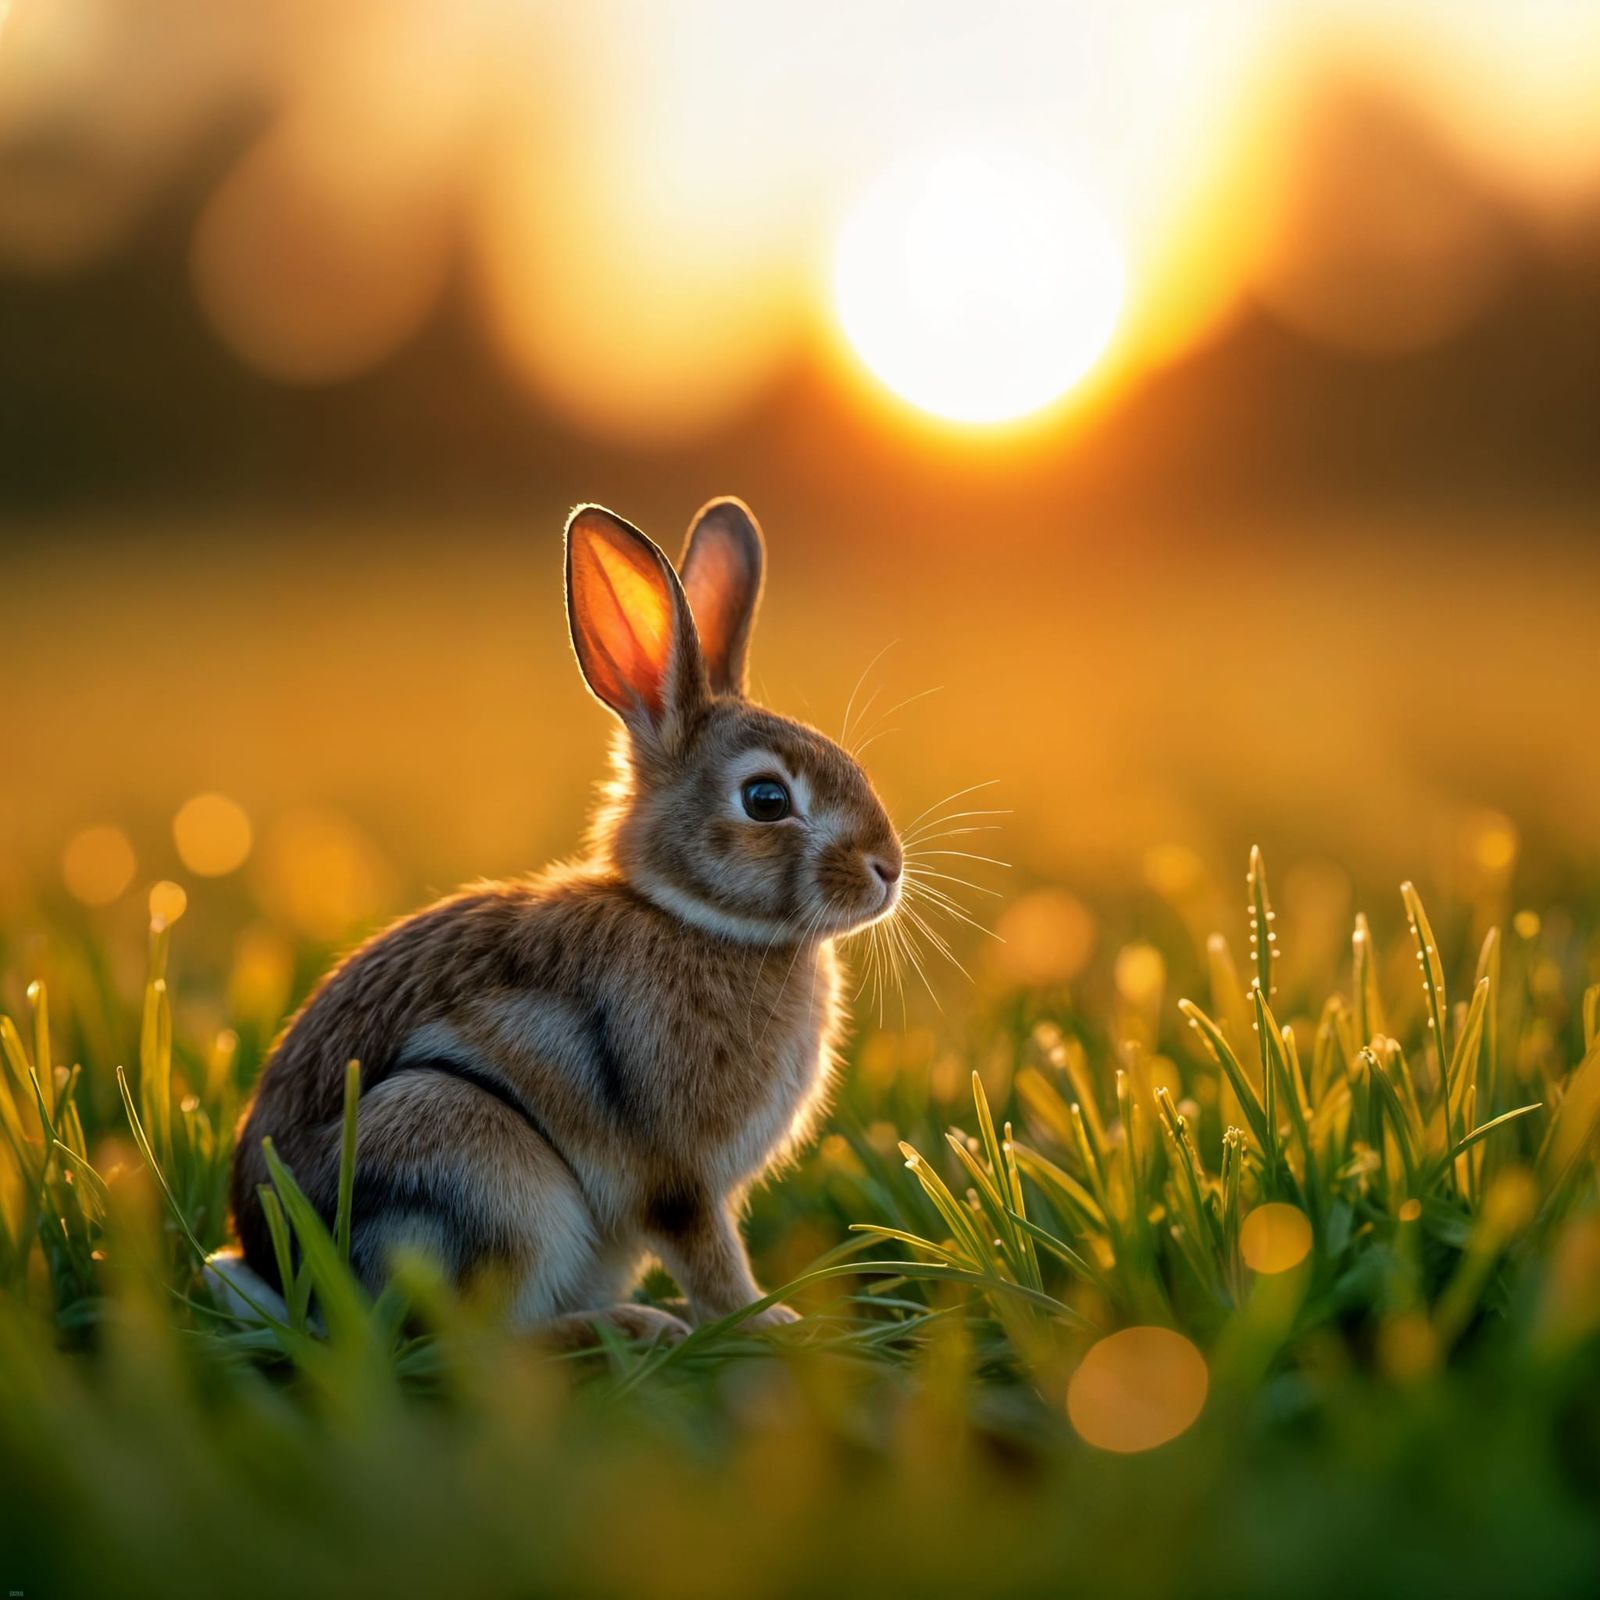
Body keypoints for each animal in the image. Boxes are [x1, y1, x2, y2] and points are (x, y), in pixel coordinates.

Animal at [224, 497, 904, 1344]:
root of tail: (289, 1283)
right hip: (464, 1157)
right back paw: (630, 1327)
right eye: (767, 800)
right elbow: (709, 1256)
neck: (696, 920)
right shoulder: (677, 1177)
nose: (889, 869)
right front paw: (769, 1322)